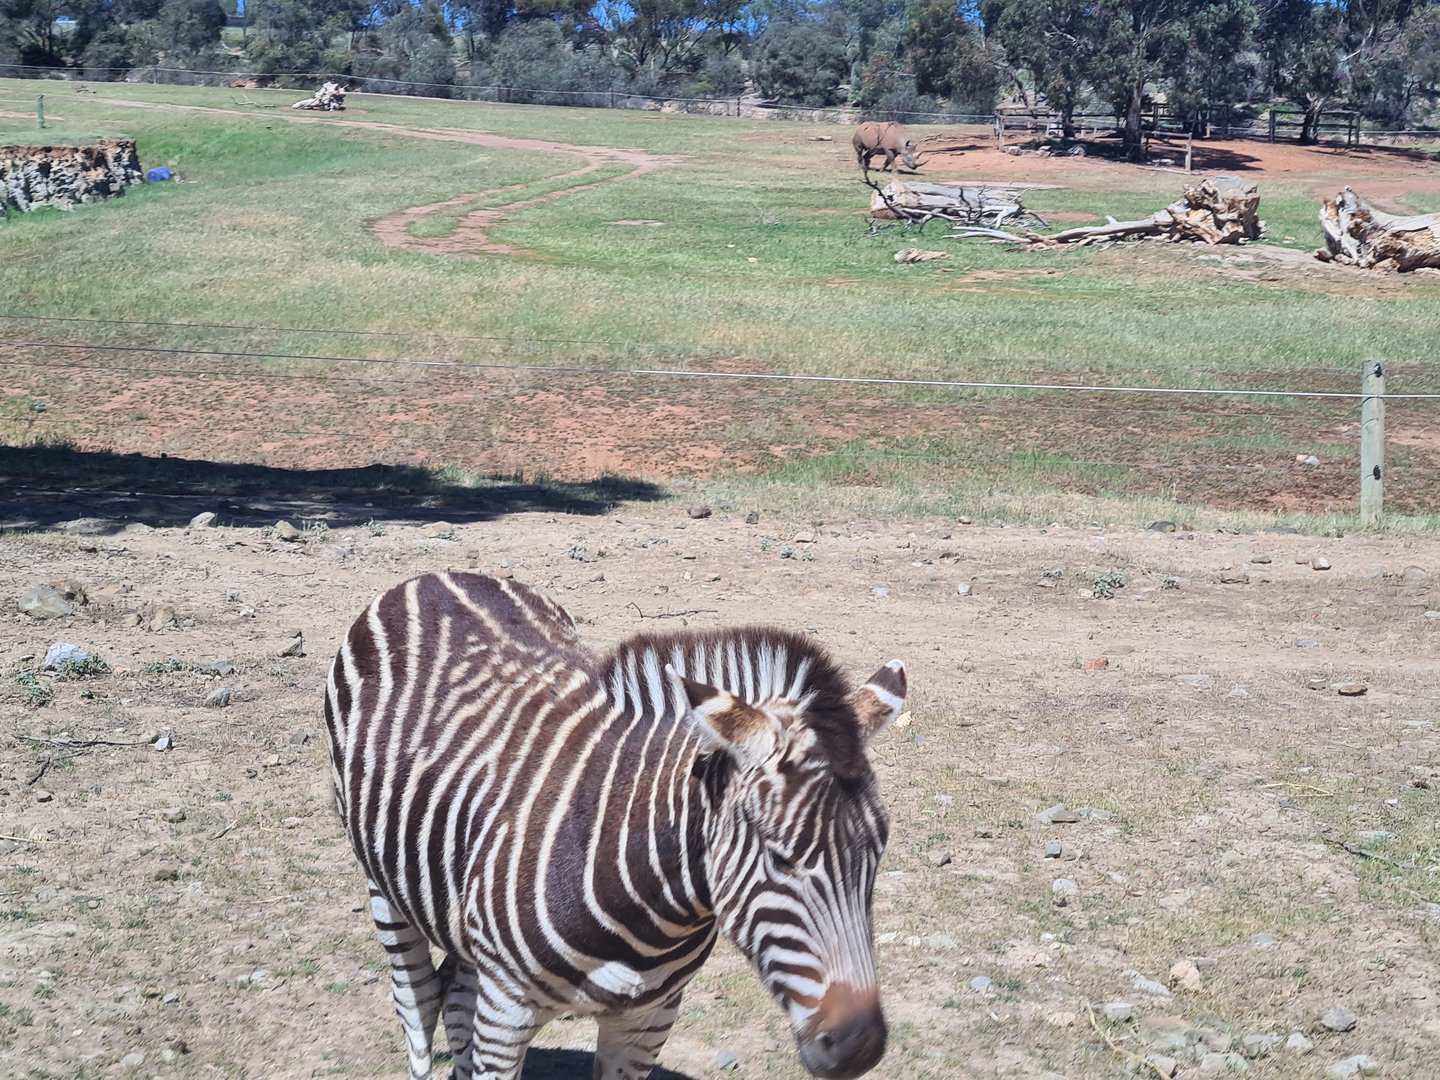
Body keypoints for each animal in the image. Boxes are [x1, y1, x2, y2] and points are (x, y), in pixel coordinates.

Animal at [324, 571, 907, 1080]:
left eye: (877, 855)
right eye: (781, 858)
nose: (860, 1046)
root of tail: (436, 576)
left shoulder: (648, 1021)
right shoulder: (506, 1014)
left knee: (457, 998)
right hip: (384, 884)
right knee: (418, 1002)